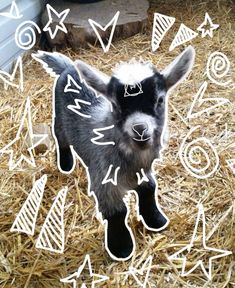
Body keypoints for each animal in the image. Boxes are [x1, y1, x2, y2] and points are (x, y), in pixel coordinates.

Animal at [33, 46, 195, 260]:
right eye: (116, 105)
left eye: (160, 100)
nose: (140, 129)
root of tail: (68, 68)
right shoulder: (103, 178)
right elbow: (117, 212)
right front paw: (121, 248)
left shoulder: (143, 172)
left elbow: (149, 189)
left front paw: (156, 220)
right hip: (60, 119)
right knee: (60, 138)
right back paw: (65, 165)